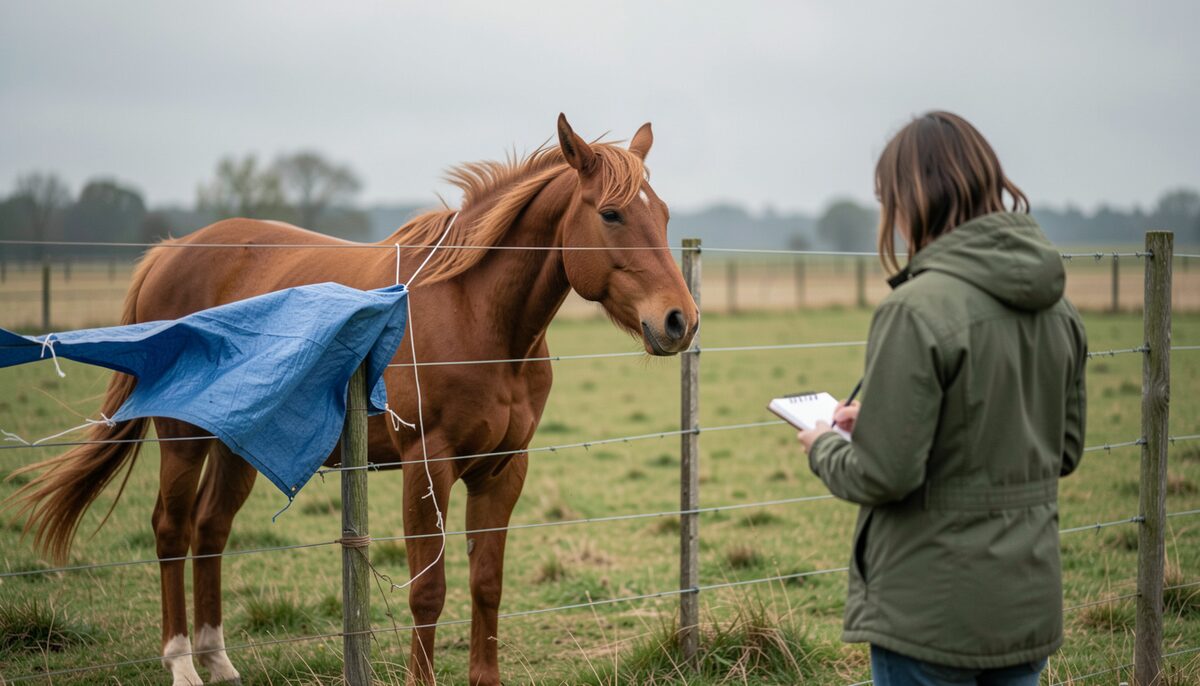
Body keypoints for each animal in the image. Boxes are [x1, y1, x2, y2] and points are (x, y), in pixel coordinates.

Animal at [8, 114, 699, 686]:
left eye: (664, 215)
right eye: (610, 214)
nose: (679, 321)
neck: (476, 315)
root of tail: (171, 252)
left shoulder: (503, 468)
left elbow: (486, 585)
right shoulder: (428, 467)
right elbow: (429, 591)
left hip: (237, 445)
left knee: (210, 529)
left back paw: (220, 662)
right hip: (182, 438)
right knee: (172, 530)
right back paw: (182, 665)